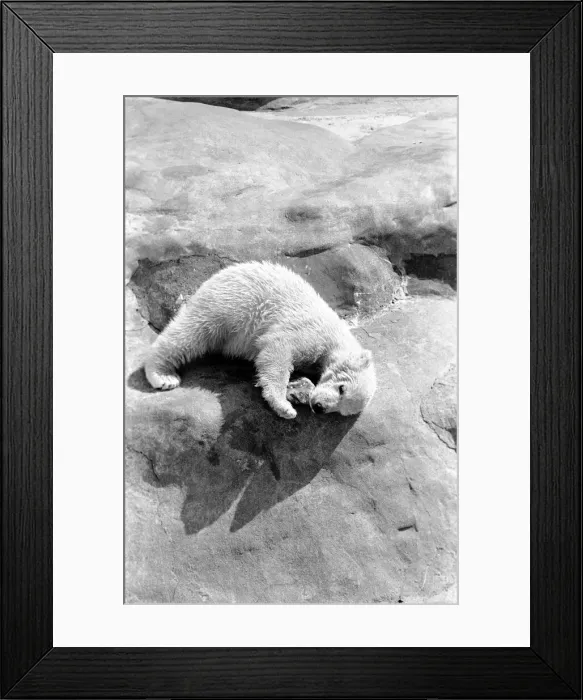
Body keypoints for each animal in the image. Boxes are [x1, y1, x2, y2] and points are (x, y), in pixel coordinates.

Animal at [144, 261, 377, 419]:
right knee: (193, 333)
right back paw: (163, 376)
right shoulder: (311, 331)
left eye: (340, 410)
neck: (337, 338)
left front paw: (298, 391)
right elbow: (277, 351)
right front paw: (284, 406)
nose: (319, 407)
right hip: (229, 303)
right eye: (342, 388)